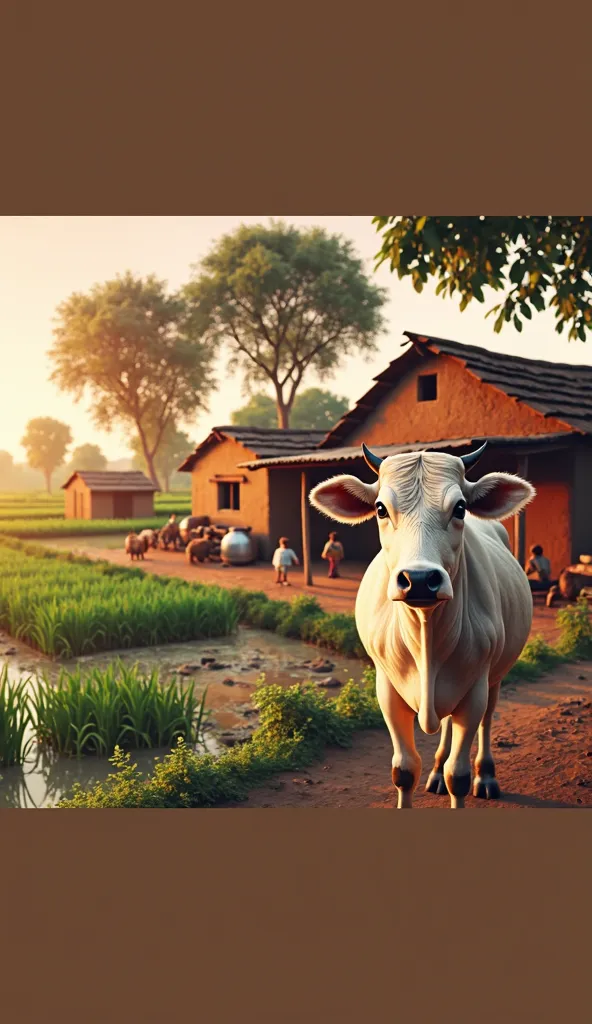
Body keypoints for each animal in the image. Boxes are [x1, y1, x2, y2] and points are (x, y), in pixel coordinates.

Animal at [311, 444, 532, 811]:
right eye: (380, 509)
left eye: (460, 508)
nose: (418, 579)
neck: (426, 636)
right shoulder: (387, 690)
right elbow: (404, 771)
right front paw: (426, 774)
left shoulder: (475, 689)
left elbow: (458, 776)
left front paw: (463, 778)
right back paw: (436, 769)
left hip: (495, 677)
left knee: (487, 721)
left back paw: (486, 776)